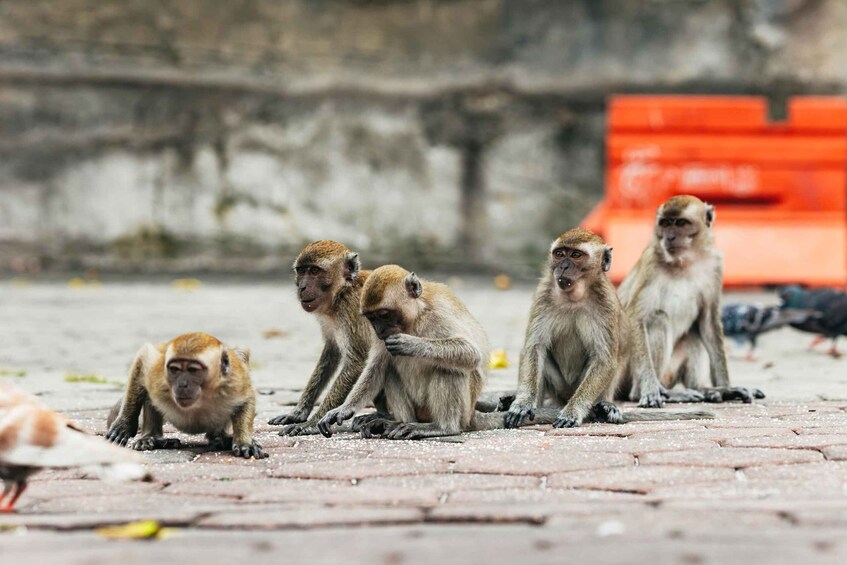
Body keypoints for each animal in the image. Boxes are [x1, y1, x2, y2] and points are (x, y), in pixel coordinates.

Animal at [106, 330, 266, 458]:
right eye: (175, 369)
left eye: (193, 370)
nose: (182, 385)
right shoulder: (158, 375)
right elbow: (144, 356)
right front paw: (125, 424)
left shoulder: (235, 380)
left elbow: (247, 397)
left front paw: (244, 442)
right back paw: (152, 437)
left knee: (241, 353)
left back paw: (219, 437)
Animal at [316, 266, 504, 440]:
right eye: (372, 318)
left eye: (384, 315)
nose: (379, 330)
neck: (414, 317)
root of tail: (472, 414)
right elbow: (376, 367)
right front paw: (343, 410)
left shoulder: (438, 315)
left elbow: (471, 353)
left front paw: (410, 344)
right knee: (389, 370)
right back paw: (398, 423)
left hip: (461, 413)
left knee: (449, 368)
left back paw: (443, 427)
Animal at [620, 195, 764, 406]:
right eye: (665, 224)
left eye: (681, 223)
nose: (670, 237)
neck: (684, 262)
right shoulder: (650, 263)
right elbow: (634, 316)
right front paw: (650, 389)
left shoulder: (714, 265)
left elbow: (708, 322)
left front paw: (727, 387)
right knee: (657, 319)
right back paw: (653, 392)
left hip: (670, 372)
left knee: (693, 331)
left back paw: (705, 389)